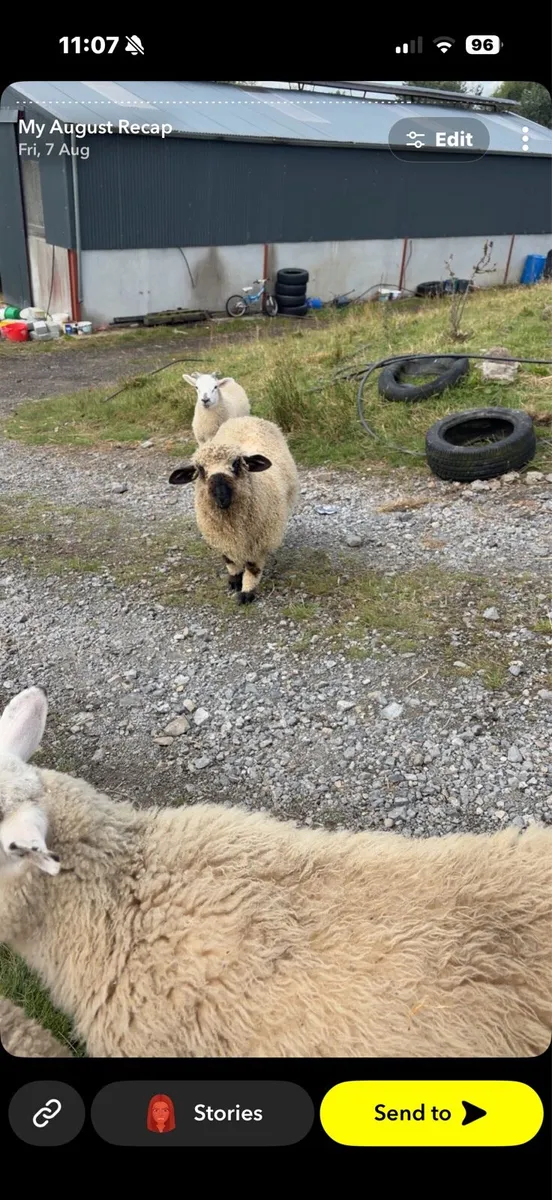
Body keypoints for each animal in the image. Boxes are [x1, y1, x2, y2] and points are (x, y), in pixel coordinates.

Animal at [169, 415, 299, 603]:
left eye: (237, 463)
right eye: (200, 469)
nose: (221, 496)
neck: (231, 521)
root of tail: (246, 418)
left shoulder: (259, 541)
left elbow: (253, 568)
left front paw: (246, 593)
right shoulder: (221, 537)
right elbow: (230, 560)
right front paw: (235, 580)